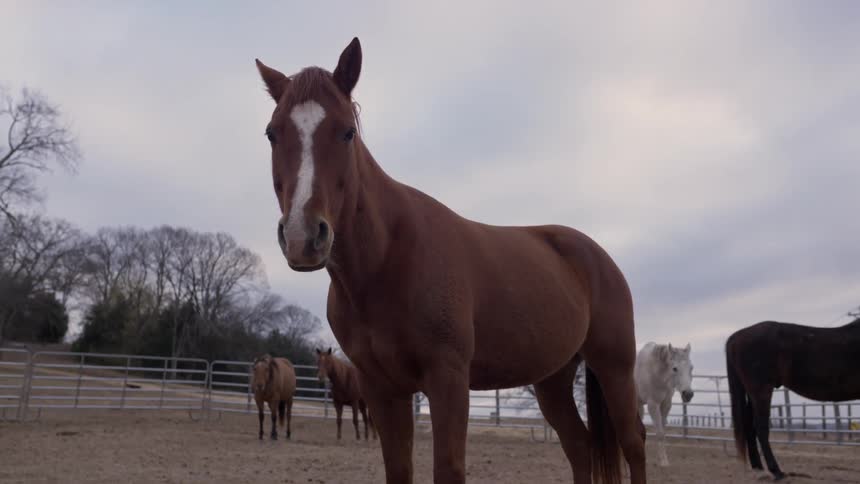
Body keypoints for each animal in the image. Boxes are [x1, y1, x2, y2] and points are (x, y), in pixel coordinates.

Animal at [254, 37, 646, 484]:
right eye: (272, 133)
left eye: (346, 132)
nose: (303, 236)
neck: (386, 262)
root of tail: (598, 256)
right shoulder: (382, 388)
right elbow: (398, 468)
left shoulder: (448, 381)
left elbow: (448, 467)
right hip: (553, 380)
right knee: (580, 447)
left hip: (614, 368)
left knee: (633, 444)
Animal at [726, 318, 860, 480]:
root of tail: (736, 336)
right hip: (761, 391)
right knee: (761, 427)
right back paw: (776, 472)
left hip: (752, 394)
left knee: (749, 425)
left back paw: (758, 468)